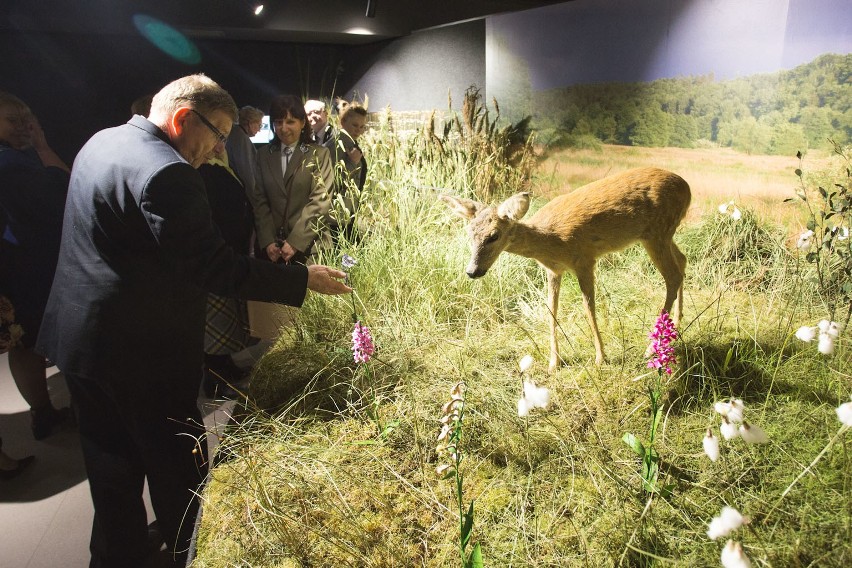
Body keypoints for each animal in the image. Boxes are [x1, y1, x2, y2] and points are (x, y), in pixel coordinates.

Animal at [442, 166, 688, 370]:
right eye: (469, 232)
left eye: (494, 235)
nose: (472, 271)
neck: (550, 241)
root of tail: (687, 188)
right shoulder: (553, 270)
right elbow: (551, 310)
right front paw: (554, 362)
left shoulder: (585, 259)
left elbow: (589, 308)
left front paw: (600, 358)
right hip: (663, 234)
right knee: (682, 261)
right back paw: (676, 325)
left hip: (657, 232)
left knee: (672, 276)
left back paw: (651, 348)